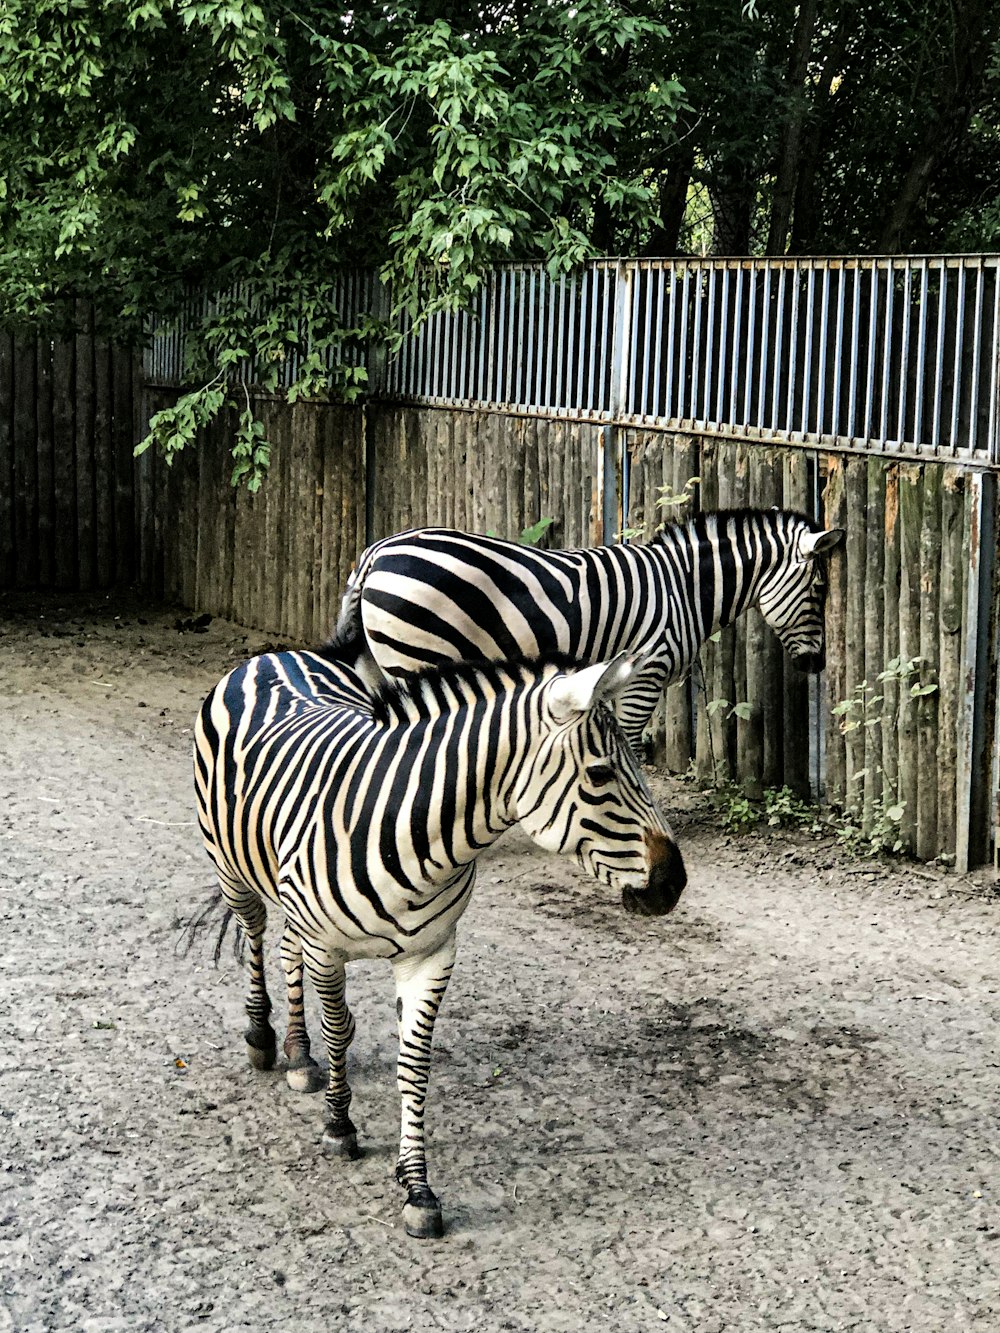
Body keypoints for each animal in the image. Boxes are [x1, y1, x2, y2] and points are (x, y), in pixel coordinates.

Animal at [192, 639, 688, 1231]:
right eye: (598, 774)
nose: (674, 883)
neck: (412, 835)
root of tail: (278, 655)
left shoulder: (431, 954)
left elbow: (413, 1065)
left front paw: (417, 1187)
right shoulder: (329, 946)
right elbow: (337, 1033)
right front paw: (340, 1127)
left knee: (290, 947)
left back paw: (299, 1053)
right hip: (232, 870)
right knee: (257, 931)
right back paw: (266, 1039)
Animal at [334, 509, 848, 757]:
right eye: (820, 590)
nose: (817, 664)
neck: (682, 586)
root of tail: (376, 552)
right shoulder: (646, 672)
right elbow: (631, 743)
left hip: (382, 658)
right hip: (414, 654)